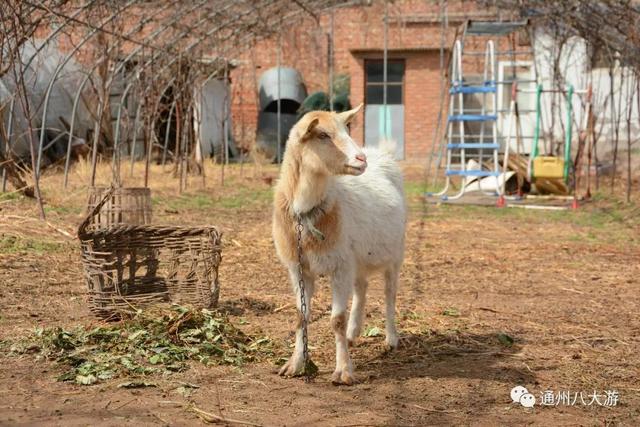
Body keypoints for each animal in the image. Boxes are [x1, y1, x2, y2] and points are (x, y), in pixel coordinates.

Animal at [272, 103, 404, 384]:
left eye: (346, 129)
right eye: (323, 135)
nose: (361, 159)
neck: (306, 213)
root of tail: (382, 153)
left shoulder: (339, 267)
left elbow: (337, 320)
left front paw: (343, 370)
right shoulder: (299, 269)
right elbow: (301, 316)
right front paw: (295, 364)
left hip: (395, 254)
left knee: (389, 294)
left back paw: (391, 339)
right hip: (359, 257)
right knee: (362, 287)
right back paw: (354, 334)